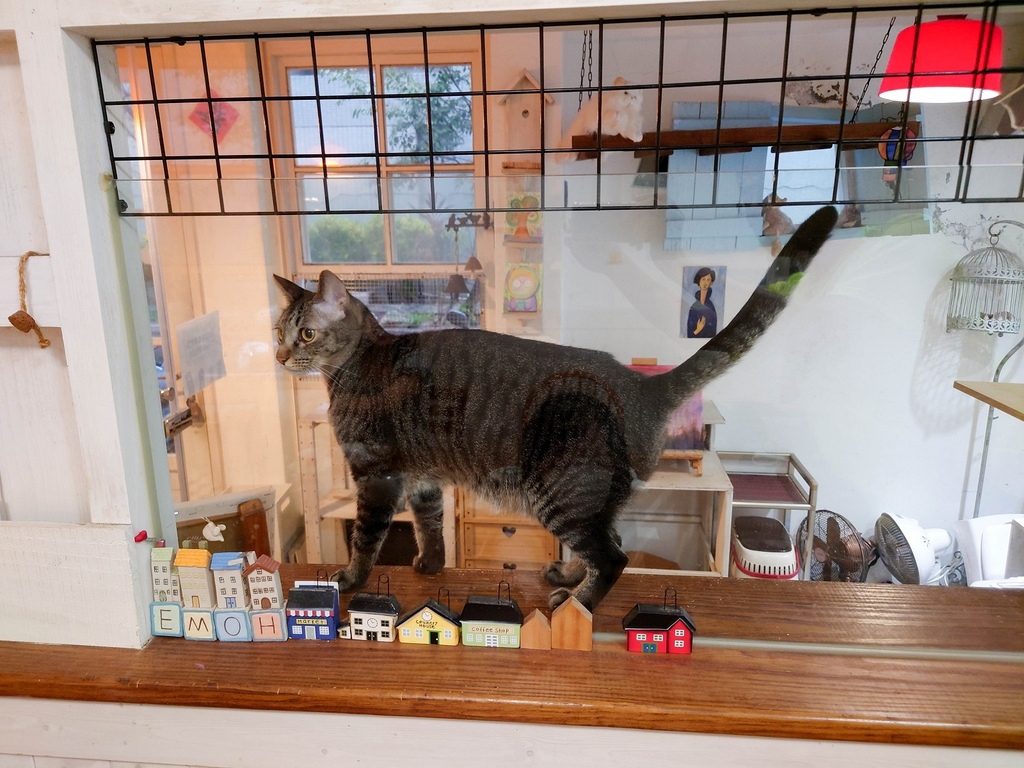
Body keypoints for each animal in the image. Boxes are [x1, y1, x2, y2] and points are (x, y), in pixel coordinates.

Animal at [273, 205, 838, 611]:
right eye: (278, 332)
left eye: (306, 334)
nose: (279, 355)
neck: (358, 364)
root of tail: (640, 384)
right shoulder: (424, 479)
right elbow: (430, 527)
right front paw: (431, 565)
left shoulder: (376, 475)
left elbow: (365, 538)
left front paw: (350, 578)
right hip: (593, 498)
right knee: (606, 542)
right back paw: (566, 574)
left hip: (563, 493)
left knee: (614, 557)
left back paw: (576, 600)